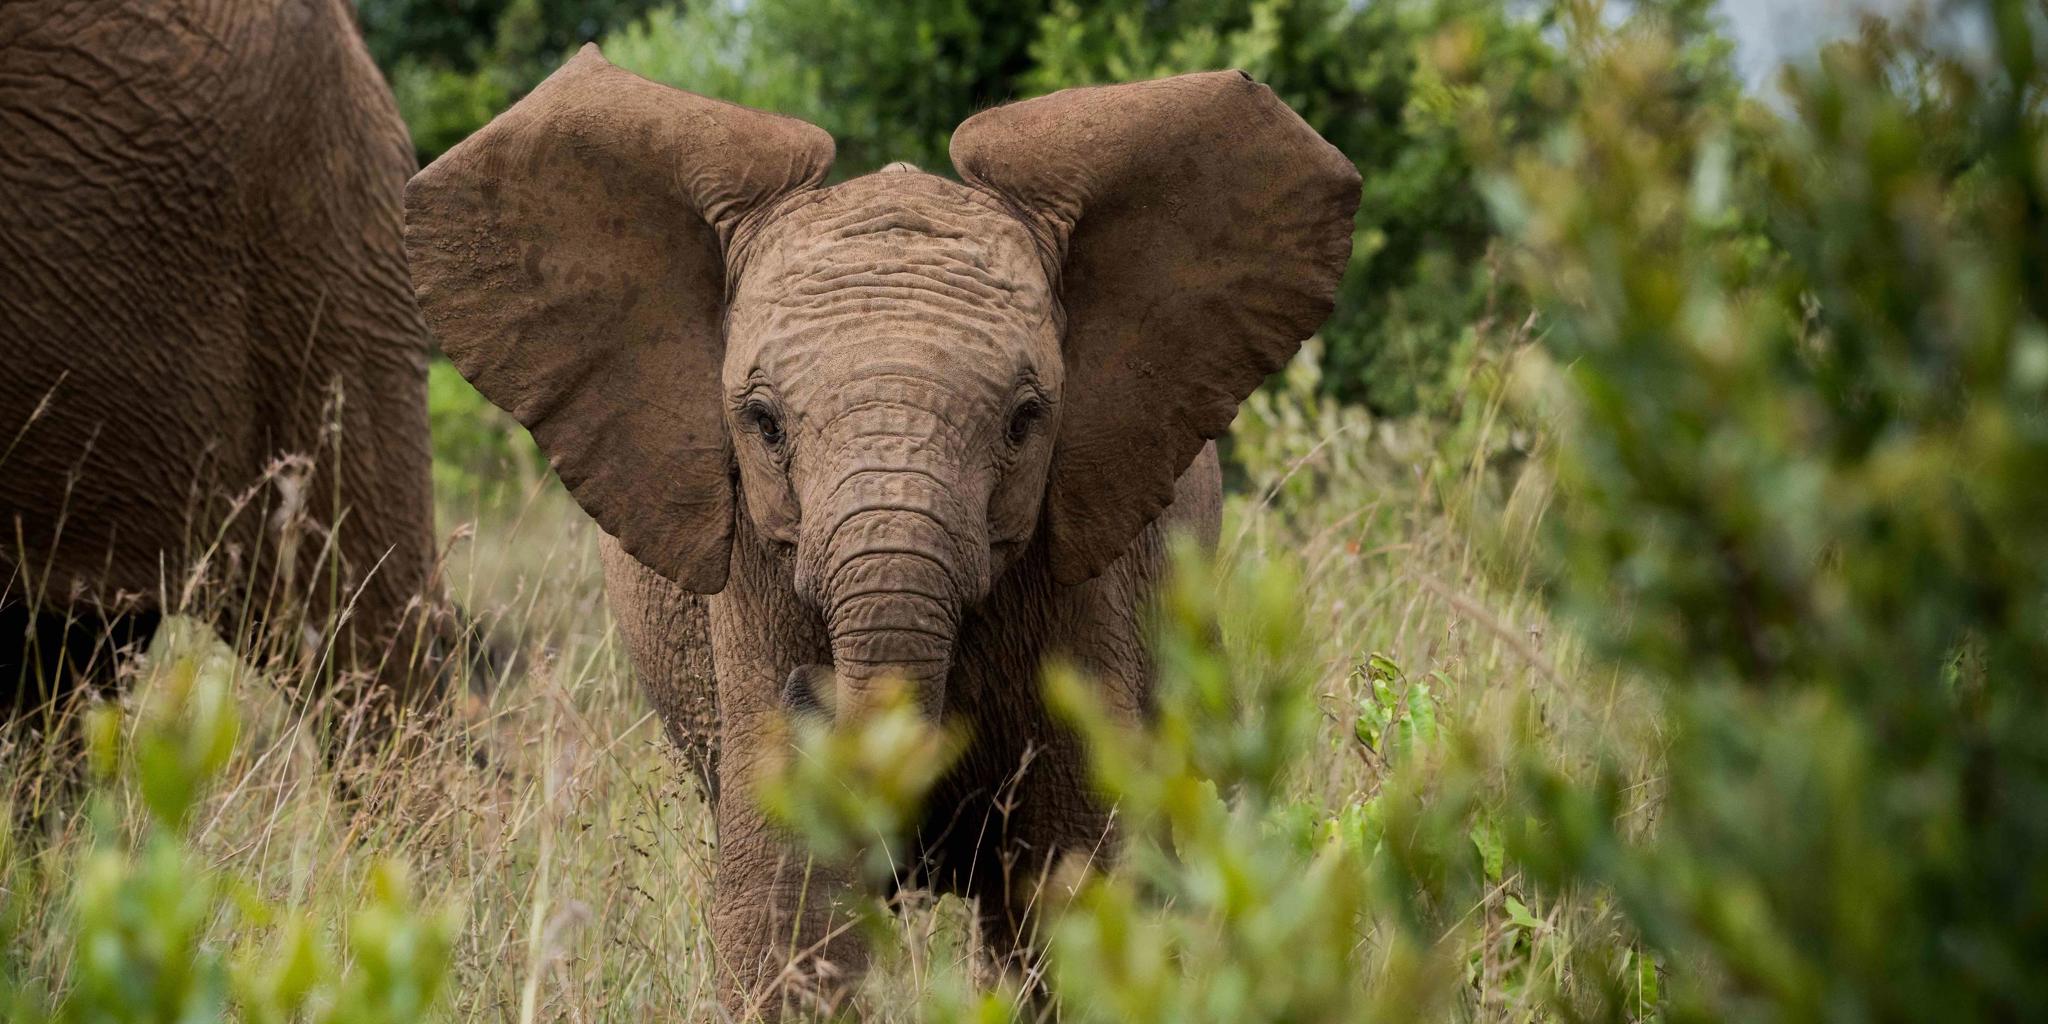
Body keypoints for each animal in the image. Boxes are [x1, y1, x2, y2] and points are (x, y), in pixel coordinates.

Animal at [407, 46, 1358, 1016]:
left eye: (1026, 421)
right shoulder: (754, 575)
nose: (814, 692)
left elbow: (1077, 875)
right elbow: (785, 903)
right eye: (762, 423)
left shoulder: (1092, 575)